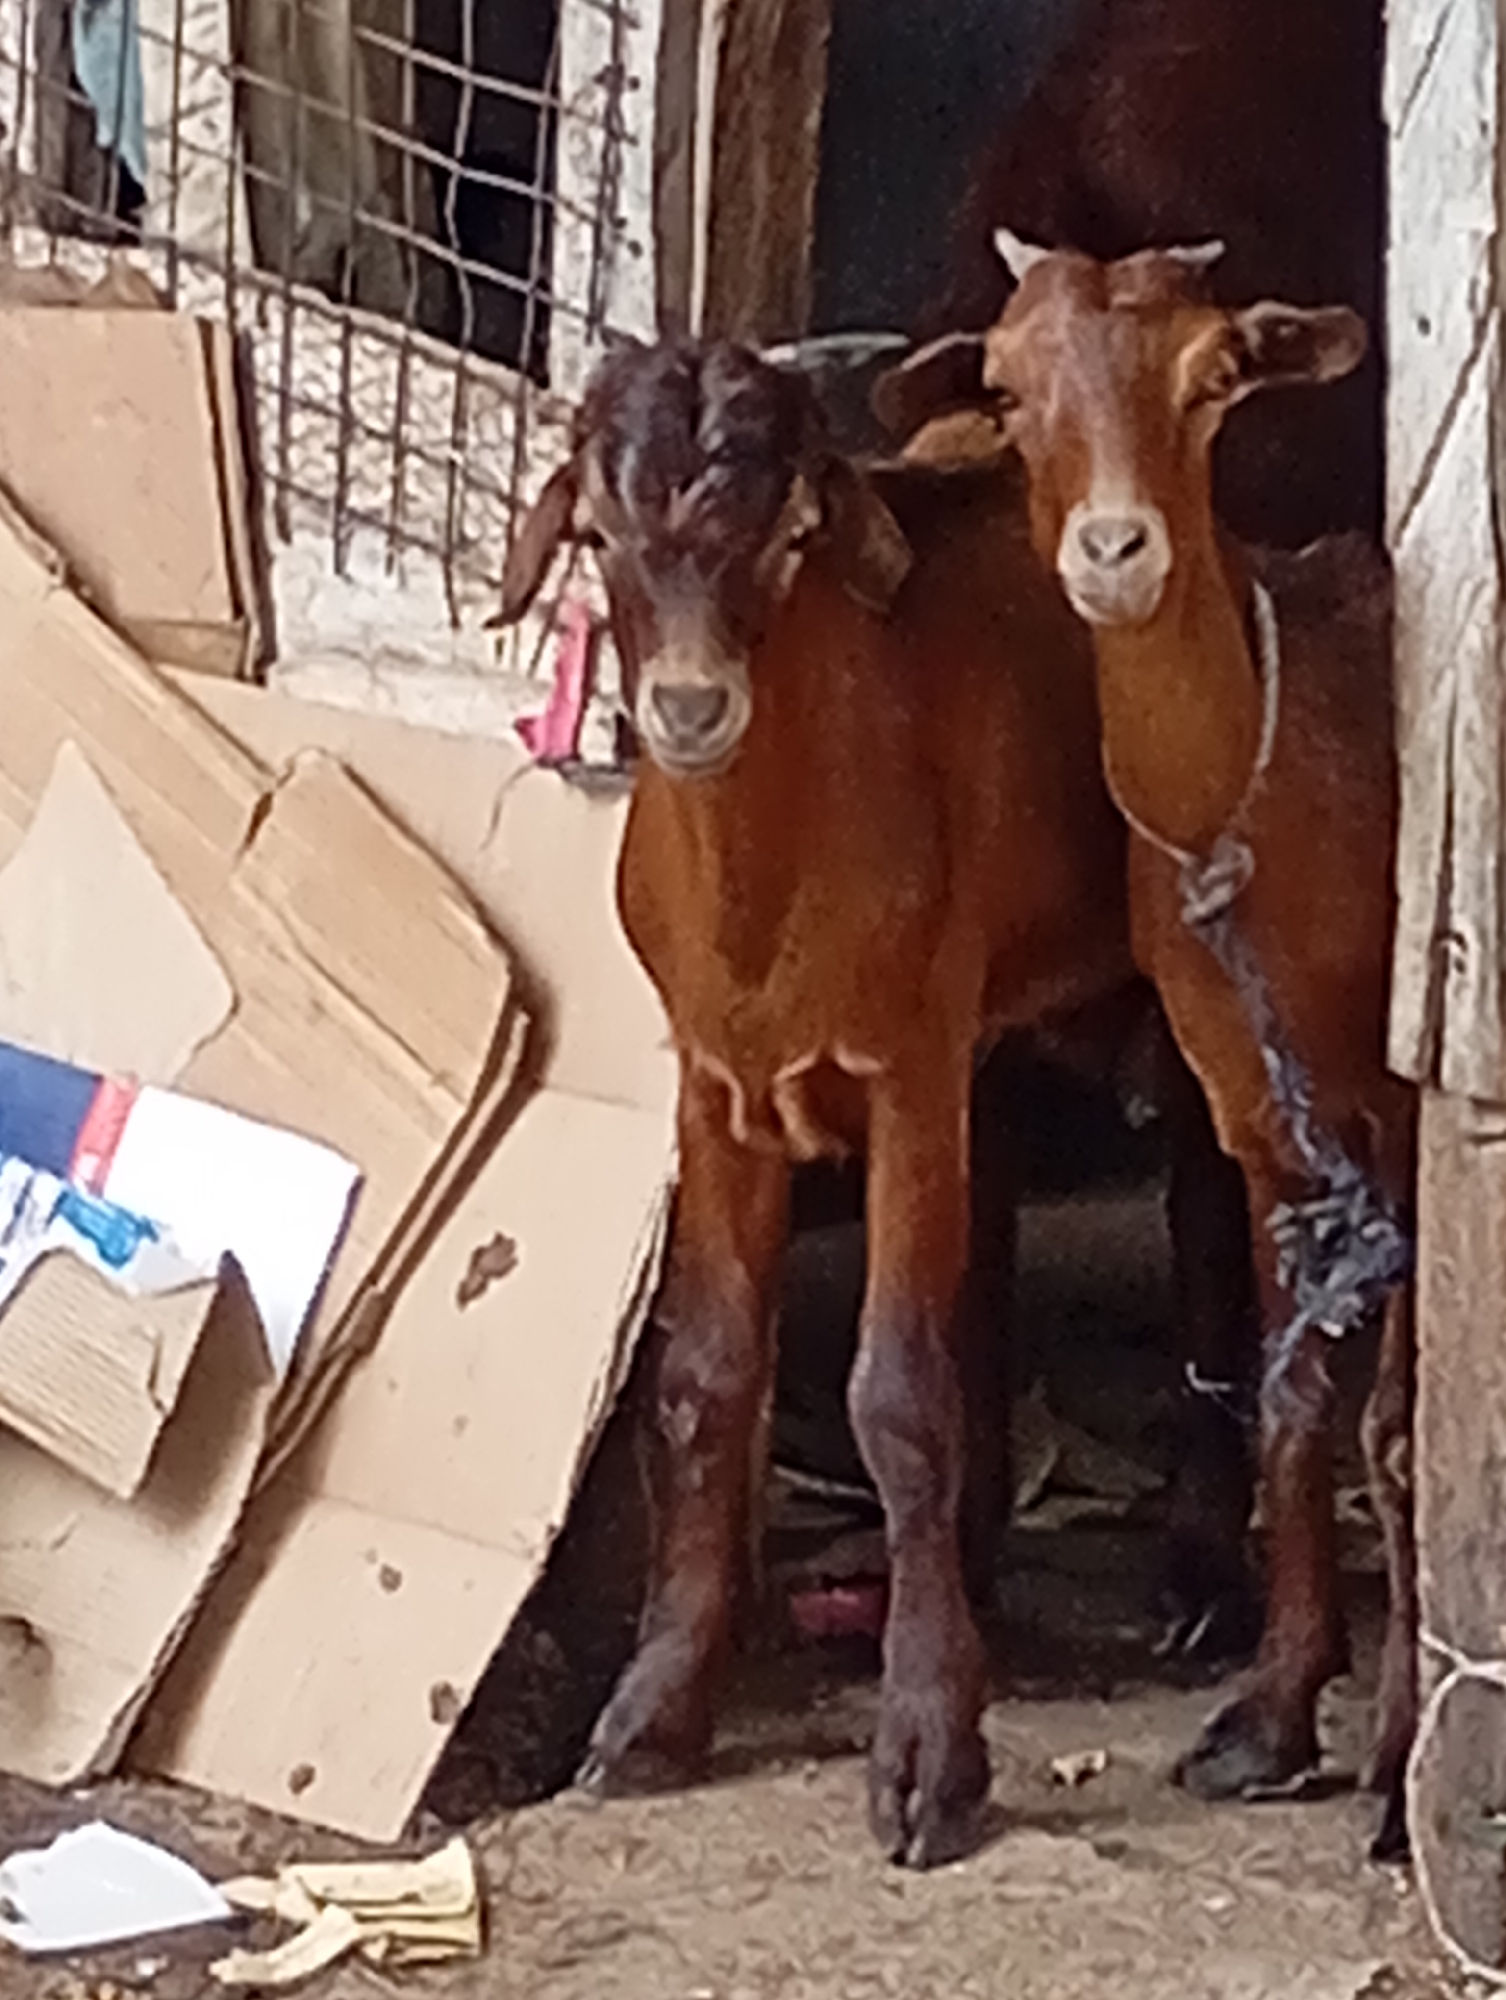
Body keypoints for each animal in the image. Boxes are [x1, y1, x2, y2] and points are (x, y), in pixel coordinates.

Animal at [493, 336, 1255, 1865]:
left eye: (791, 535)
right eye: (598, 536)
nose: (688, 709)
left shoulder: (906, 1066)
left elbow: (894, 1394)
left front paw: (926, 1756)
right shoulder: (714, 1085)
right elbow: (704, 1380)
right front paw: (652, 1710)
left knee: (1206, 1206)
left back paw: (1203, 1574)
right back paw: (977, 1557)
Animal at [876, 242, 1415, 1860]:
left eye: (1214, 377)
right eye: (1004, 387)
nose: (1114, 551)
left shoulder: (1410, 1118)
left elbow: (1394, 1430)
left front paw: (1390, 1774)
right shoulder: (1263, 1115)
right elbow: (1295, 1409)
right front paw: (1273, 1714)